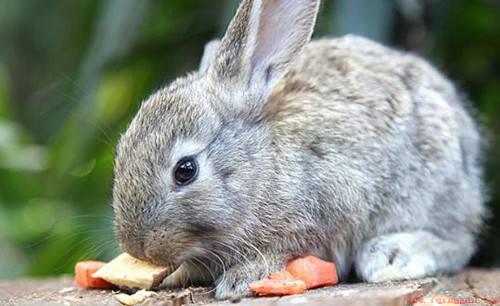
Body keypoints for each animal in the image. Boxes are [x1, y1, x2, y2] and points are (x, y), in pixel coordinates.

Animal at [112, 0, 484, 298]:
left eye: (186, 170)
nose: (136, 247)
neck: (261, 167)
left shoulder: (333, 206)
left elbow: (292, 251)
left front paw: (241, 278)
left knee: (459, 243)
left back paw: (393, 255)